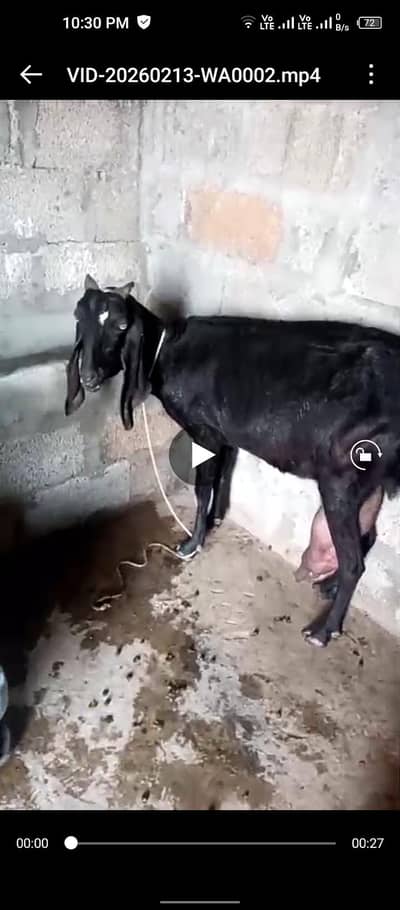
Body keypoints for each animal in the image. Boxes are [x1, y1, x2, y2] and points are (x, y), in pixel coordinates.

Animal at [65, 274, 400, 648]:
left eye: (121, 325)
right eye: (79, 316)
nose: (89, 376)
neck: (166, 349)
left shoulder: (203, 431)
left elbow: (202, 487)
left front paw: (191, 543)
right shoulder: (222, 434)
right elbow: (222, 476)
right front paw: (215, 520)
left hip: (343, 475)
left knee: (353, 559)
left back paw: (322, 630)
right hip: (365, 479)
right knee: (366, 537)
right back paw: (329, 587)